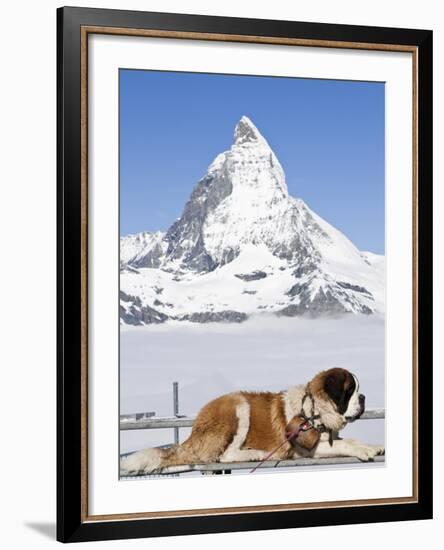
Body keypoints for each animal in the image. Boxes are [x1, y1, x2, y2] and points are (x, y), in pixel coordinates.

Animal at [121, 368, 386, 476]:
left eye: (357, 390)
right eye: (350, 391)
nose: (363, 397)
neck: (314, 410)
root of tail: (194, 429)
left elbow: (346, 440)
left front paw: (372, 446)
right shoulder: (303, 449)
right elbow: (346, 442)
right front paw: (366, 449)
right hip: (238, 406)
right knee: (223, 455)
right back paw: (254, 453)